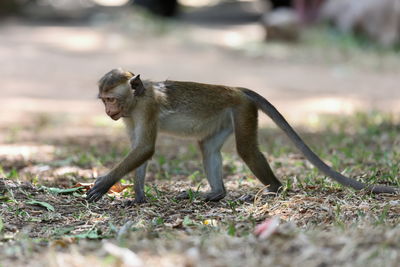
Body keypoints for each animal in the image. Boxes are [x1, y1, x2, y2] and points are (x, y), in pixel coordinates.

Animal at [86, 68, 398, 203]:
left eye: (110, 99)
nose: (108, 111)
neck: (137, 99)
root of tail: (237, 89)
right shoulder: (131, 117)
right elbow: (140, 150)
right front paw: (138, 198)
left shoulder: (147, 108)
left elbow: (145, 149)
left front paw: (103, 184)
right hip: (226, 116)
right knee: (208, 148)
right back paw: (217, 193)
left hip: (243, 110)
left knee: (246, 150)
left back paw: (274, 189)